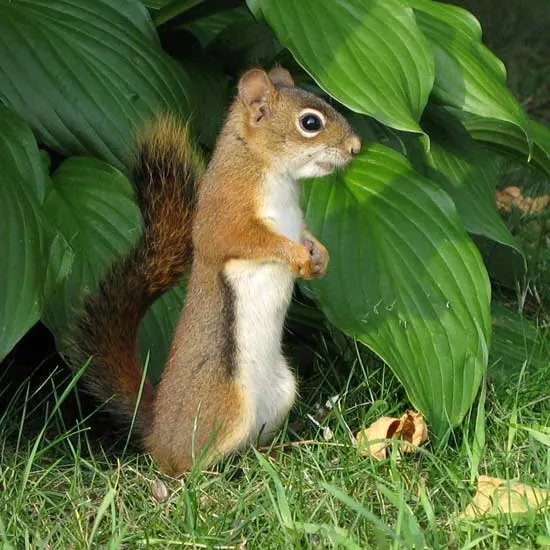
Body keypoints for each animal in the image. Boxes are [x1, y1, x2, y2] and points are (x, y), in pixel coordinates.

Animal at [67, 67, 362, 476]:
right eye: (310, 123)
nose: (356, 147)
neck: (269, 171)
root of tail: (157, 432)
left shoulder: (296, 221)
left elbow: (306, 235)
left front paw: (320, 256)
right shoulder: (224, 215)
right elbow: (246, 240)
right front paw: (297, 257)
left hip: (282, 393)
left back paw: (274, 453)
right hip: (225, 404)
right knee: (184, 465)